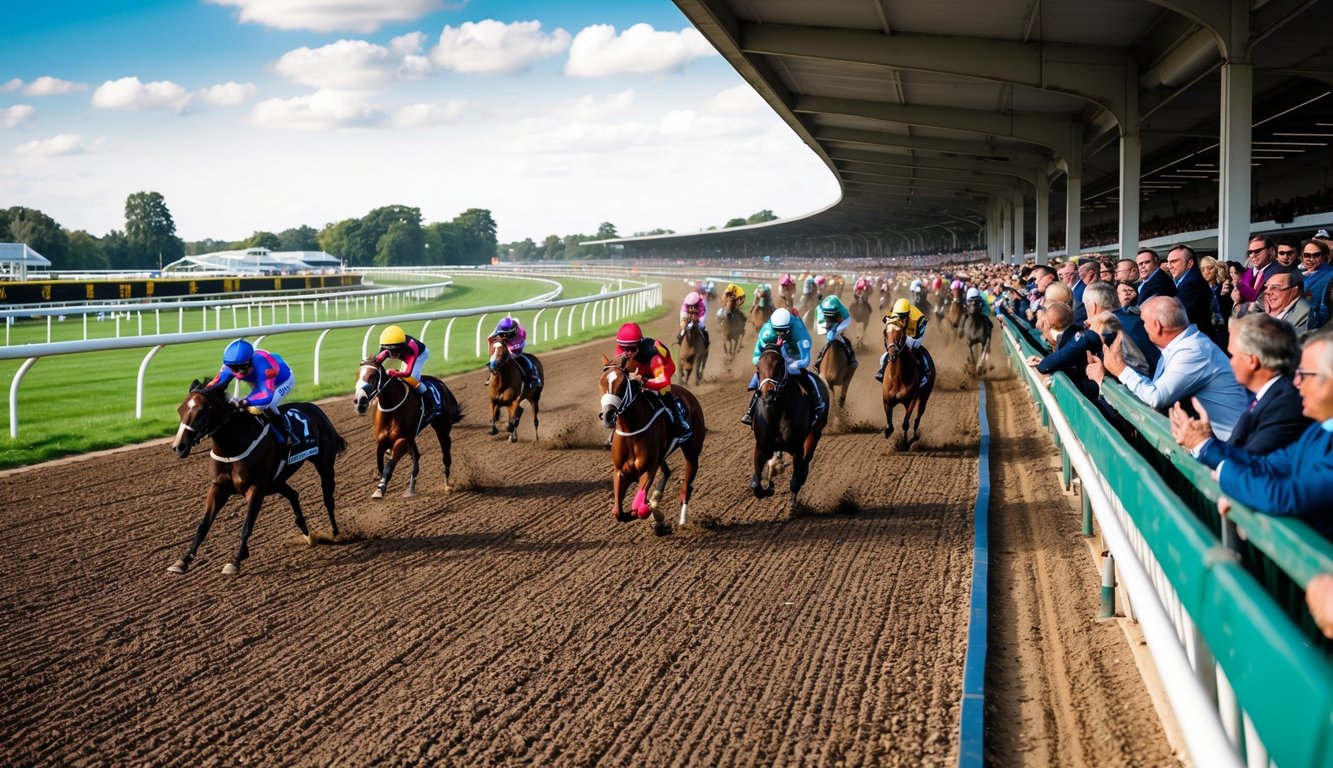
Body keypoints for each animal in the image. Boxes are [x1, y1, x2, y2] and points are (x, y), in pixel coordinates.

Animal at [166, 381, 346, 573]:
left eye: (200, 411)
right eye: (180, 409)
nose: (179, 446)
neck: (232, 446)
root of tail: (317, 409)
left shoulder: (256, 488)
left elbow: (246, 527)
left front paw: (236, 561)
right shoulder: (218, 487)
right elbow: (203, 526)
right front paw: (183, 560)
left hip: (324, 466)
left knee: (328, 500)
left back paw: (336, 534)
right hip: (276, 481)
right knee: (294, 495)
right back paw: (309, 536)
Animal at [354, 362, 463, 501]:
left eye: (373, 375)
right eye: (357, 374)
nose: (359, 402)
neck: (391, 408)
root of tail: (442, 384)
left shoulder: (402, 440)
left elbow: (389, 466)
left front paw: (380, 489)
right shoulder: (382, 441)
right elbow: (380, 464)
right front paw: (379, 479)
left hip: (442, 429)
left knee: (446, 456)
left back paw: (447, 485)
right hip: (413, 437)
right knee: (416, 456)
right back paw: (411, 488)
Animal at [599, 354, 709, 533]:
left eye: (622, 384)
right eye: (601, 383)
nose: (608, 416)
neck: (631, 430)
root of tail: (688, 394)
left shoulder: (647, 470)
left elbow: (639, 509)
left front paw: (655, 513)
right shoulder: (621, 472)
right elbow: (618, 512)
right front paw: (654, 509)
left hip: (692, 451)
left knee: (687, 485)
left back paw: (682, 519)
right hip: (662, 456)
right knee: (667, 472)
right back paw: (656, 499)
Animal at [746, 346, 826, 509]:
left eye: (779, 366)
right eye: (758, 367)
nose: (767, 394)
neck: (777, 413)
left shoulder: (797, 447)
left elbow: (795, 481)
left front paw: (792, 504)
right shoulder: (762, 446)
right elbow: (756, 485)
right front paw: (768, 487)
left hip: (815, 433)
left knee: (807, 460)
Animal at [885, 320, 938, 450]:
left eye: (901, 335)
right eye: (885, 333)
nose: (892, 354)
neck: (898, 377)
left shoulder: (911, 401)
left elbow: (905, 424)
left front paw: (904, 444)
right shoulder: (887, 399)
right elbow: (889, 425)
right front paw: (888, 433)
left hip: (924, 398)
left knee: (917, 420)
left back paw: (914, 438)